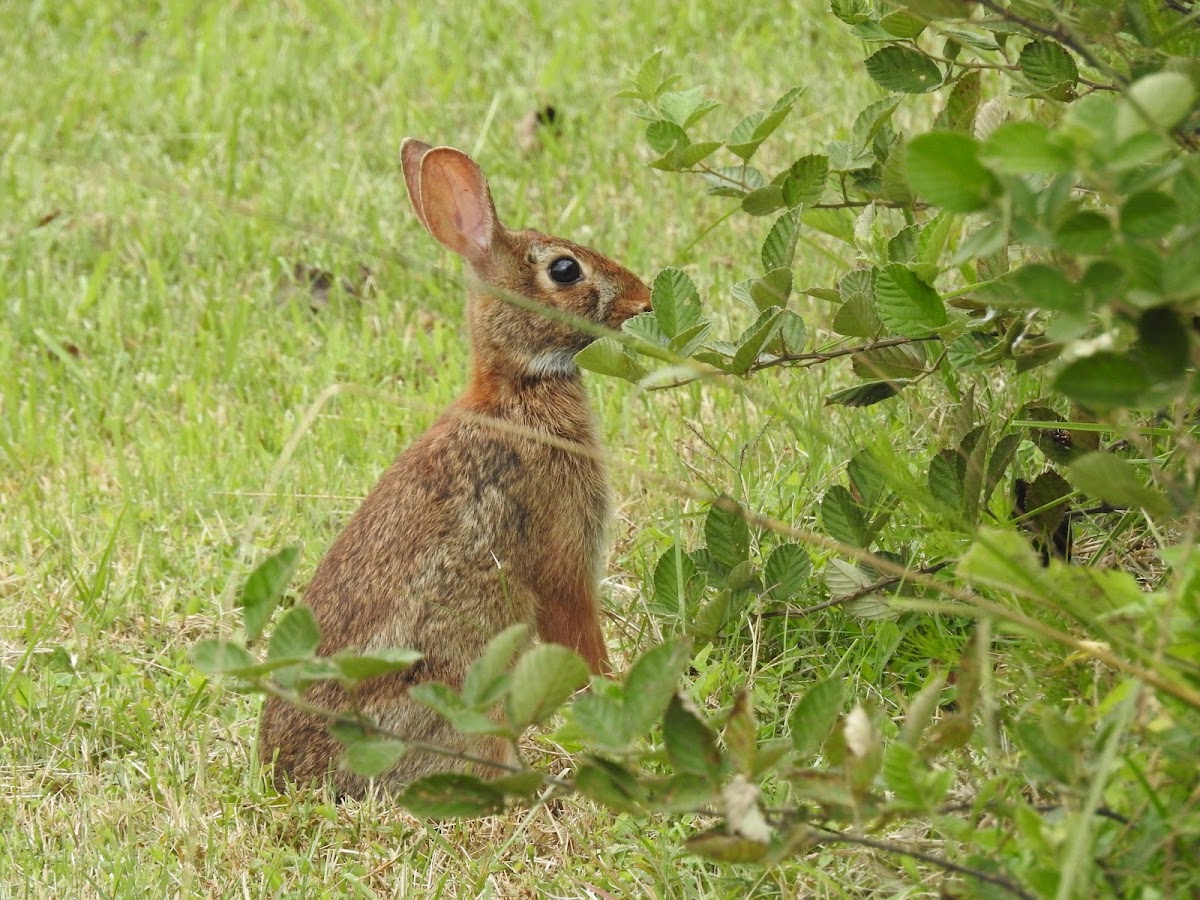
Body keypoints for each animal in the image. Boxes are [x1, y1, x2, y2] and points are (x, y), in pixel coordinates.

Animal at [258, 137, 652, 801]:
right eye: (565, 270)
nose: (642, 298)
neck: (518, 387)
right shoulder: (563, 557)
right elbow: (577, 637)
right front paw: (614, 692)